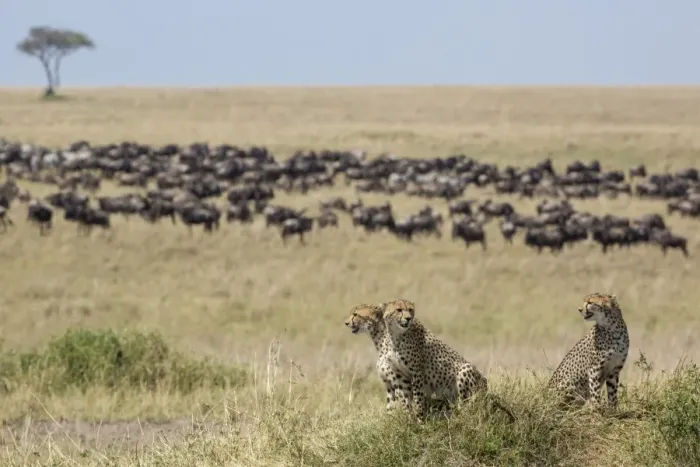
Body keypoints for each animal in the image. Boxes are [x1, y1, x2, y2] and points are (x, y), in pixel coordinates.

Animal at [380, 299, 513, 421]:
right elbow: (405, 400)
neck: (396, 336)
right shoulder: (400, 375)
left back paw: (458, 416)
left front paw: (420, 420)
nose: (408, 318)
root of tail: (486, 387)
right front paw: (410, 420)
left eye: (410, 309)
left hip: (465, 370)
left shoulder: (417, 373)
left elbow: (418, 399)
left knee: (469, 406)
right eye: (399, 310)